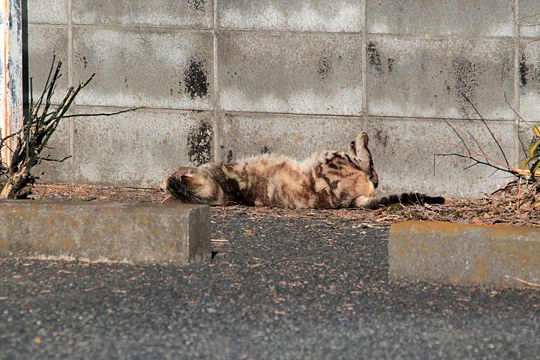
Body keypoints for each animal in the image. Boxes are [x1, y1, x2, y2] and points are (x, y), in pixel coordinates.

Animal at [162, 132, 446, 210]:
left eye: (172, 175)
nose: (166, 178)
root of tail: (352, 201)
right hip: (330, 157)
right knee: (368, 167)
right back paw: (359, 140)